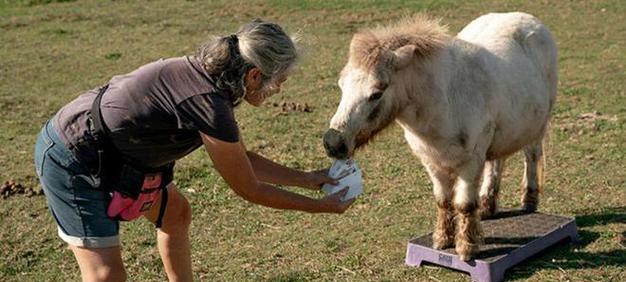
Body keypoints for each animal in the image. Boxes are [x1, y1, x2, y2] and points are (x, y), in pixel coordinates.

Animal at [322, 12, 556, 260]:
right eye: (341, 85)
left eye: (376, 93)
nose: (333, 143)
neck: (443, 101)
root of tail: (527, 19)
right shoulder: (431, 162)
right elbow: (443, 200)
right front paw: (442, 239)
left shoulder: (470, 163)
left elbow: (464, 204)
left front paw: (467, 247)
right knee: (496, 163)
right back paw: (487, 205)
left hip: (537, 126)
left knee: (532, 156)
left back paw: (529, 200)